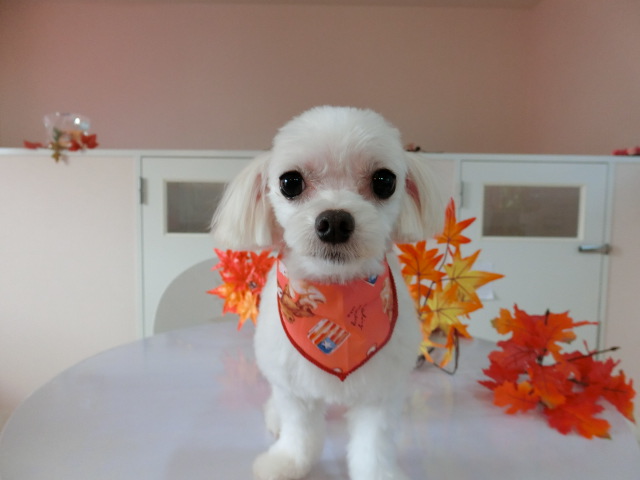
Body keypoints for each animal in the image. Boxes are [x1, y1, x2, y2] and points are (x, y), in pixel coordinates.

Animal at [212, 106, 441, 480]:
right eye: (290, 182)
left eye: (384, 181)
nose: (334, 222)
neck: (337, 292)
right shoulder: (293, 386)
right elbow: (299, 433)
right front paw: (287, 462)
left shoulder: (380, 391)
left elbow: (374, 444)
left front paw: (377, 472)